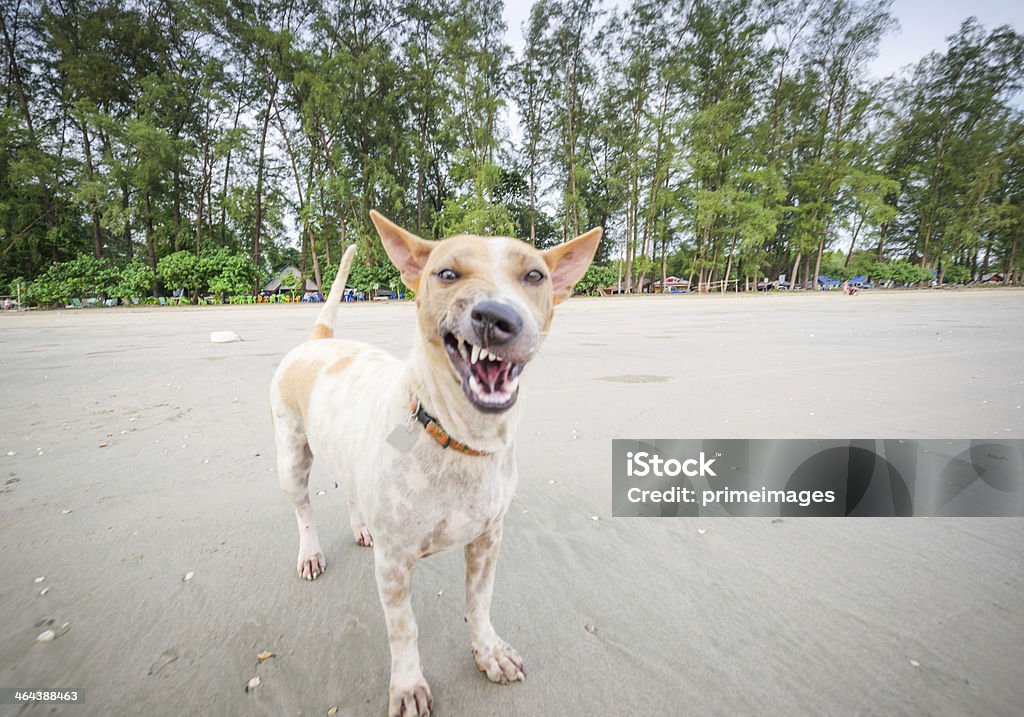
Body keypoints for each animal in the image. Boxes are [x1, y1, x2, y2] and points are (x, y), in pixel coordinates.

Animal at [270, 209, 598, 712]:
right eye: (446, 273)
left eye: (534, 276)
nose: (496, 317)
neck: (461, 440)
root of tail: (318, 339)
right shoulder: (393, 564)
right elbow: (404, 629)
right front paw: (407, 686)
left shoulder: (488, 538)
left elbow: (479, 602)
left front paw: (489, 652)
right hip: (290, 456)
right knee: (303, 508)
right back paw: (310, 553)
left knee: (351, 492)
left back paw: (361, 527)